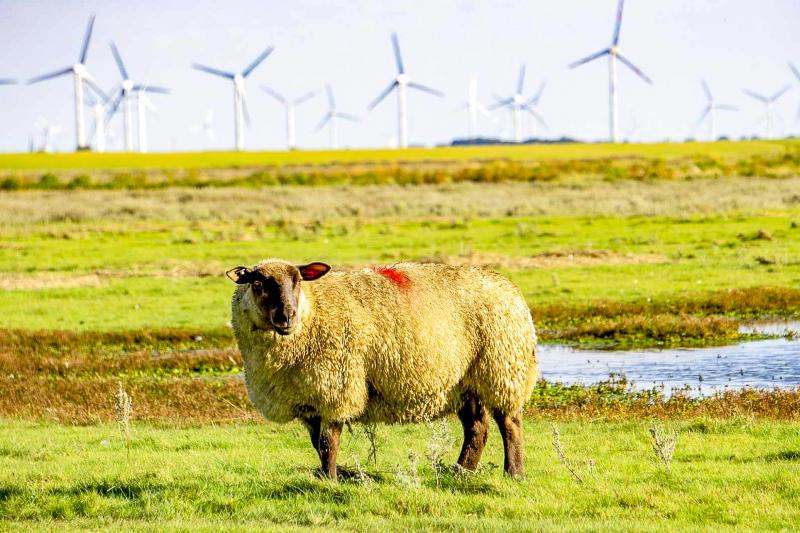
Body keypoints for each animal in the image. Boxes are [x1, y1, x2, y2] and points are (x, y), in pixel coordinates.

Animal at [227, 259, 538, 480]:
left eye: (298, 281)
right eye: (257, 283)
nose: (286, 316)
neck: (311, 312)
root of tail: (508, 286)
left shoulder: (339, 387)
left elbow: (328, 442)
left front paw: (330, 479)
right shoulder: (309, 399)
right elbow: (317, 442)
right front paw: (330, 475)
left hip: (502, 368)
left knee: (509, 423)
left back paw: (513, 473)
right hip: (464, 381)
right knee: (477, 428)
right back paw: (461, 472)